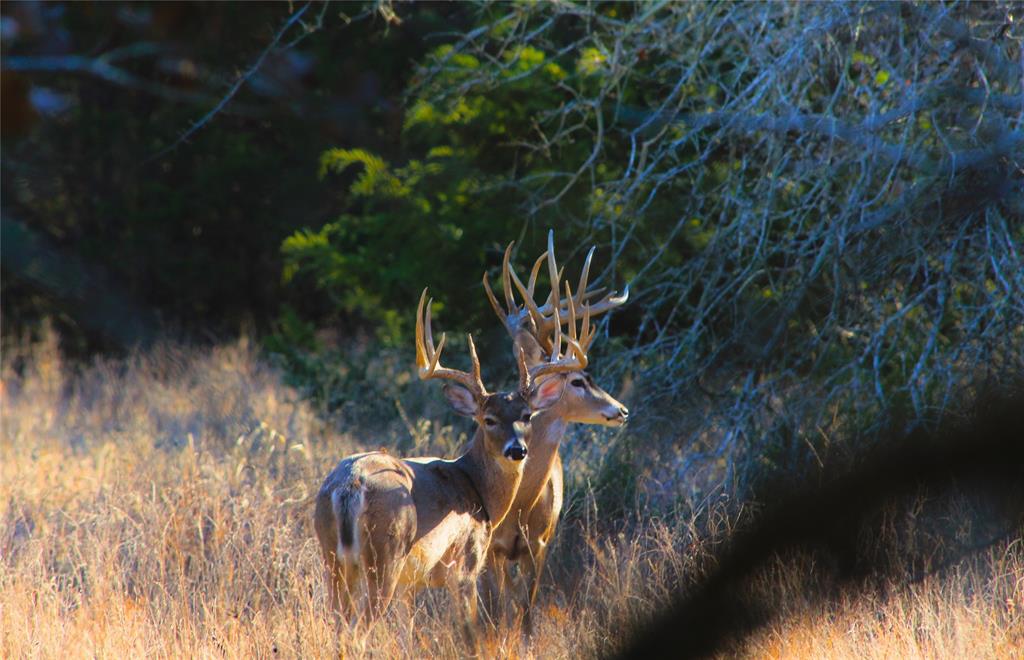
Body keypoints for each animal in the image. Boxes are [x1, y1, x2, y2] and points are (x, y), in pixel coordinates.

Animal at [311, 286, 585, 634]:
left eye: (526, 415)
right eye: (488, 420)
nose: (517, 450)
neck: (477, 489)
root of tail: (350, 485)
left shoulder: (412, 584)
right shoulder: (467, 562)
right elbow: (471, 625)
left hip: (333, 556)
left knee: (336, 619)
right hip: (385, 556)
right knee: (360, 625)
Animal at [481, 230, 630, 626]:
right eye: (578, 380)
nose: (622, 410)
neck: (521, 505)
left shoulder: (540, 544)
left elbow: (526, 611)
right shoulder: (494, 549)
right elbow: (501, 608)